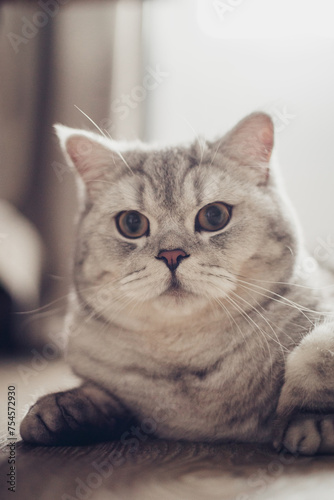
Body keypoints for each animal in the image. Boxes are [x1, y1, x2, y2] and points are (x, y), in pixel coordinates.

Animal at [20, 112, 334, 454]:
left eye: (214, 215)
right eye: (132, 223)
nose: (171, 254)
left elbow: (315, 355)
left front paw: (309, 419)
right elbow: (101, 395)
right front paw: (59, 411)